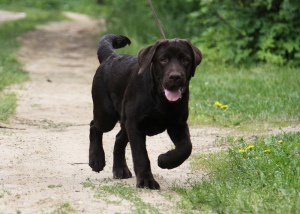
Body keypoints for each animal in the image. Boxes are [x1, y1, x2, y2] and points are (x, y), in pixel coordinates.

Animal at [89, 34, 202, 190]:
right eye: (163, 59)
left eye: (186, 60)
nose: (175, 76)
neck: (161, 100)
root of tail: (111, 56)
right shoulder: (135, 125)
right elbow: (141, 155)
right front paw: (146, 181)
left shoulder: (178, 124)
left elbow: (186, 147)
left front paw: (164, 160)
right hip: (106, 115)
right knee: (94, 126)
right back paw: (96, 160)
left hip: (124, 121)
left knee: (118, 138)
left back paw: (120, 169)